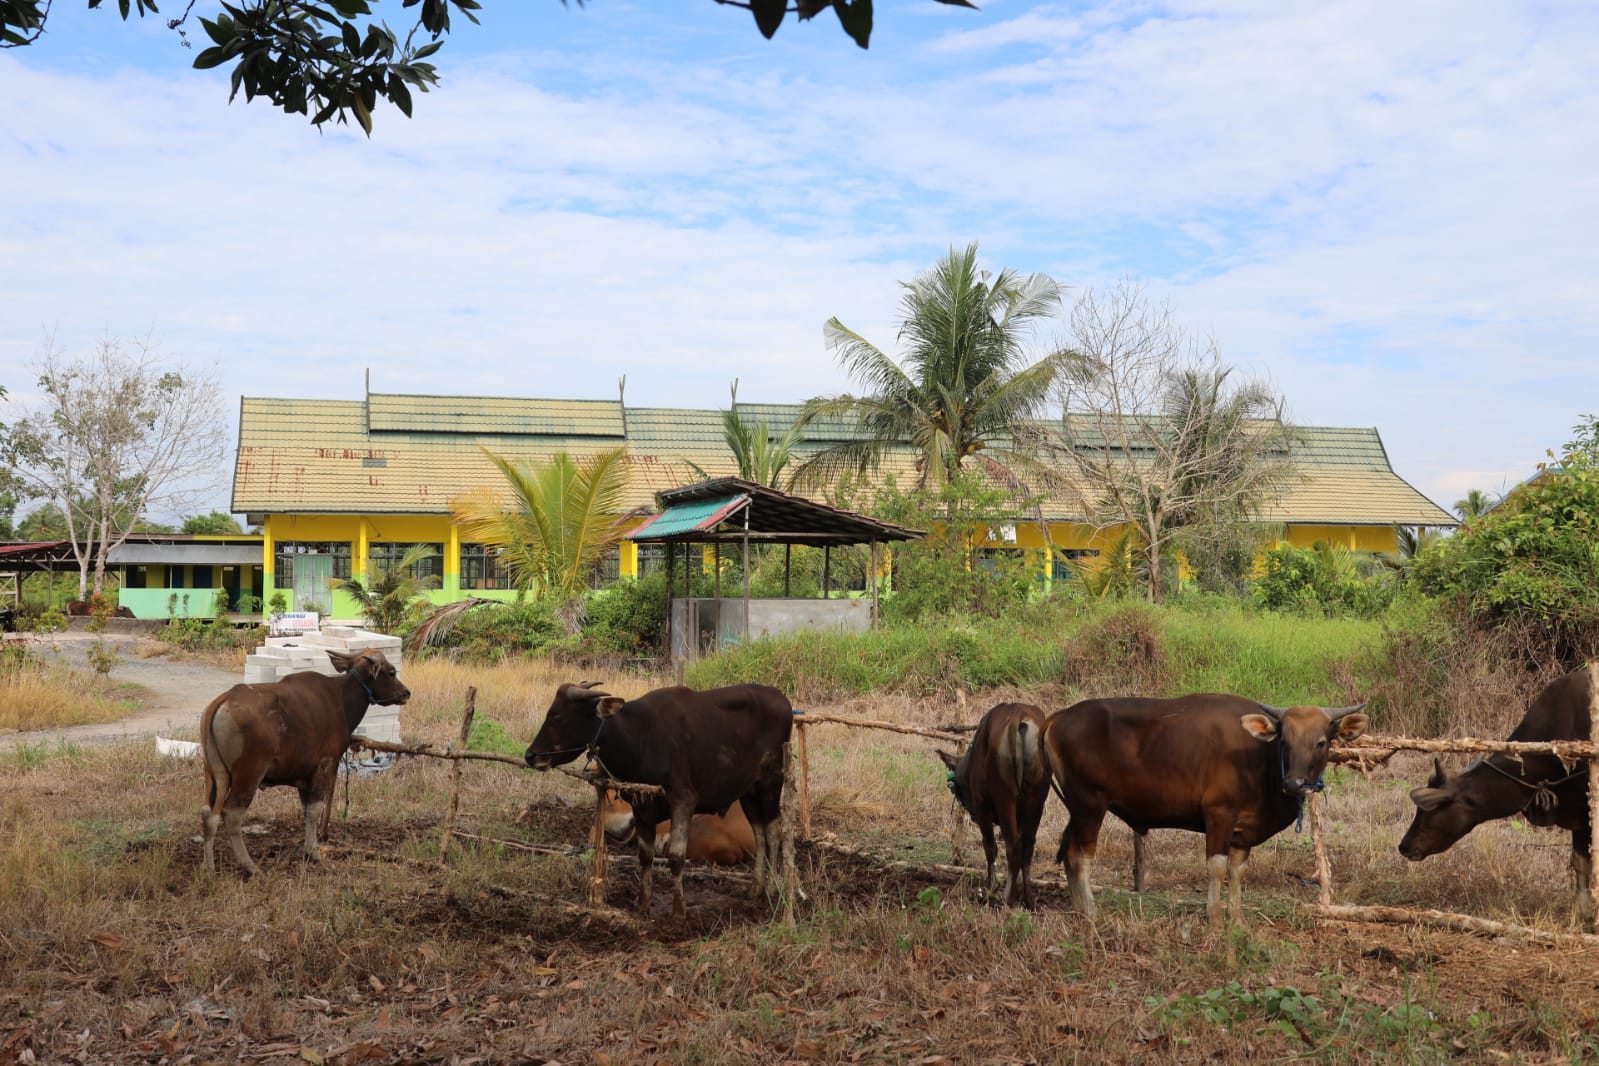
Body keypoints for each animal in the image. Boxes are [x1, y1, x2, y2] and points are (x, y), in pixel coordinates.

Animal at [198, 645, 412, 882]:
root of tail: (223, 701)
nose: (406, 693)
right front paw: (313, 852)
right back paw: (250, 866)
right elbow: (315, 810)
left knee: (208, 814)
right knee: (232, 814)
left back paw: (209, 867)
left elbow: (306, 810)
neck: (340, 698)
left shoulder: (304, 777)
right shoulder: (325, 767)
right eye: (391, 672)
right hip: (249, 775)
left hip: (215, 775)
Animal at [524, 687, 793, 920]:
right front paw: (643, 905)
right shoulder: (641, 808)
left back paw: (771, 890)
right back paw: (755, 890)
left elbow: (676, 857)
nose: (530, 756)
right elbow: (645, 856)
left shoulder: (683, 801)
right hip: (748, 792)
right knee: (759, 834)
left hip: (771, 783)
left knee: (773, 831)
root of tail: (783, 700)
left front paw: (679, 911)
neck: (639, 737)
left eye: (558, 718)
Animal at [1042, 693, 1368, 926]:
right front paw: (1214, 918)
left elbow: (1237, 872)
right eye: (1284, 741)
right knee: (1079, 856)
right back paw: (1090, 913)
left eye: (1321, 742)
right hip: (1089, 804)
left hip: (1077, 809)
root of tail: (1058, 717)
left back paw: (1078, 910)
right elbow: (1216, 867)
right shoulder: (1219, 814)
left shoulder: (1242, 832)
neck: (1260, 760)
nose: (1295, 782)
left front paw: (1236, 921)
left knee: (1069, 855)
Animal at [1400, 668, 1599, 926]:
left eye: (1429, 810)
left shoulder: (1587, 811)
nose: (1404, 845)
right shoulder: (1577, 814)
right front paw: (1582, 914)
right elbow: (1580, 863)